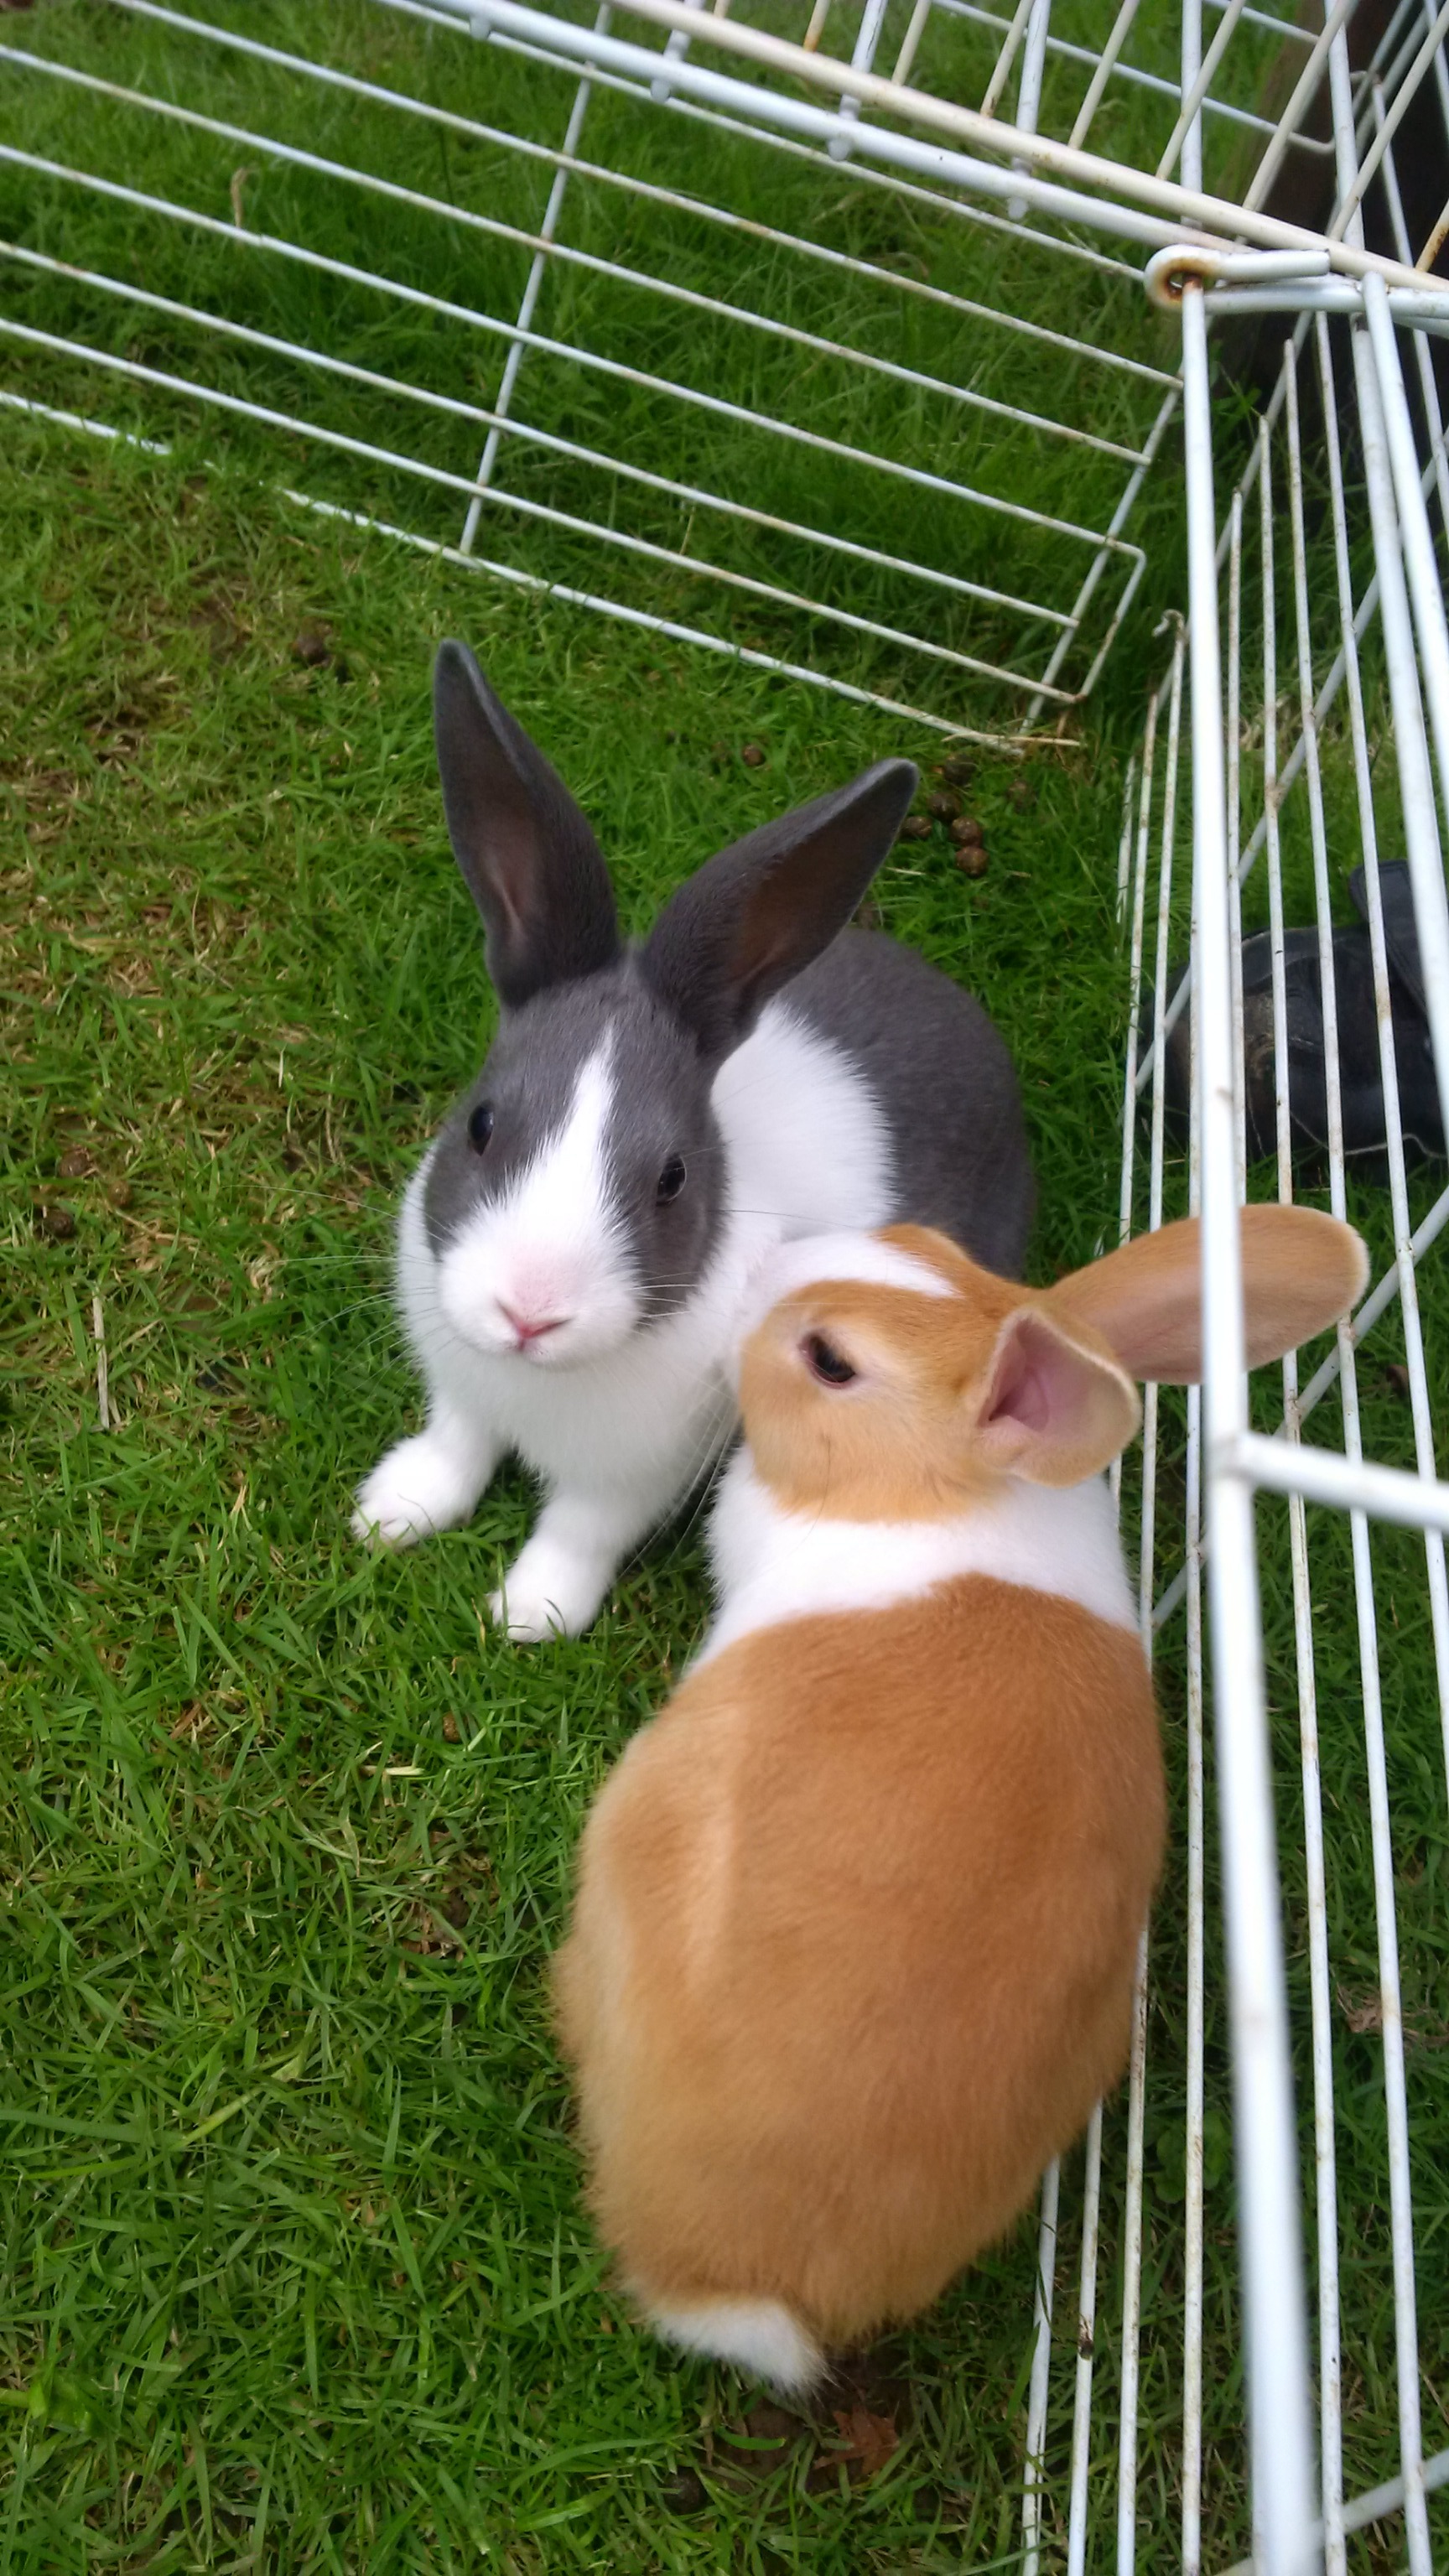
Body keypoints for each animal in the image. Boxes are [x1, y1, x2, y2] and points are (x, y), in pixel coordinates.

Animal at [352, 640, 1034, 1642]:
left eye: (672, 1177)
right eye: (481, 1124)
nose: (529, 1312)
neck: (534, 1383)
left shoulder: (638, 1473)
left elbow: (580, 1531)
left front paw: (528, 1617)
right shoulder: (462, 1391)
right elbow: (454, 1449)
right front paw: (389, 1515)